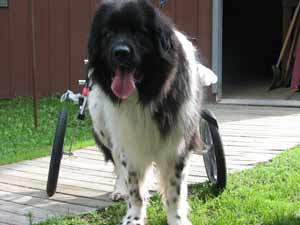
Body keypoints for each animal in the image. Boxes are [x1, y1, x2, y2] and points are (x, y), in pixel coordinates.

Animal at [86, 0, 211, 225]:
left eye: (139, 32)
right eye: (108, 33)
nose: (120, 52)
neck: (146, 95)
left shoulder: (178, 142)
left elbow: (175, 190)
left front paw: (177, 218)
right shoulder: (128, 141)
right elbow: (134, 187)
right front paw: (133, 218)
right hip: (103, 128)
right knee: (117, 164)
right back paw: (120, 190)